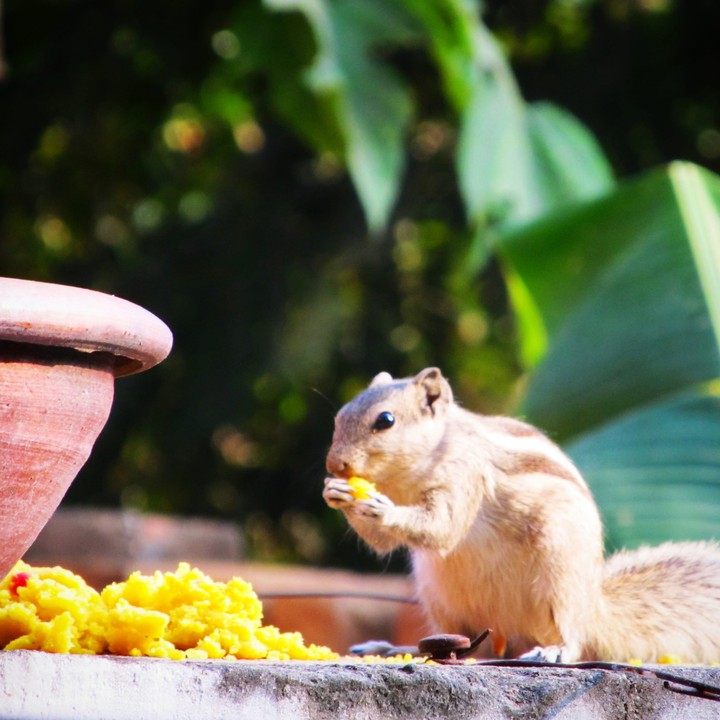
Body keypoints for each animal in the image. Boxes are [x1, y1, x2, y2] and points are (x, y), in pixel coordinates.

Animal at [323, 367, 720, 663]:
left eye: (386, 421)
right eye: (339, 416)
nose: (334, 464)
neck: (406, 477)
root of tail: (593, 606)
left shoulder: (466, 477)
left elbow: (442, 528)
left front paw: (380, 508)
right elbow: (383, 543)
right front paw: (337, 493)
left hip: (559, 576)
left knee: (571, 639)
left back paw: (554, 651)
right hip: (438, 594)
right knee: (465, 646)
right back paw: (393, 649)